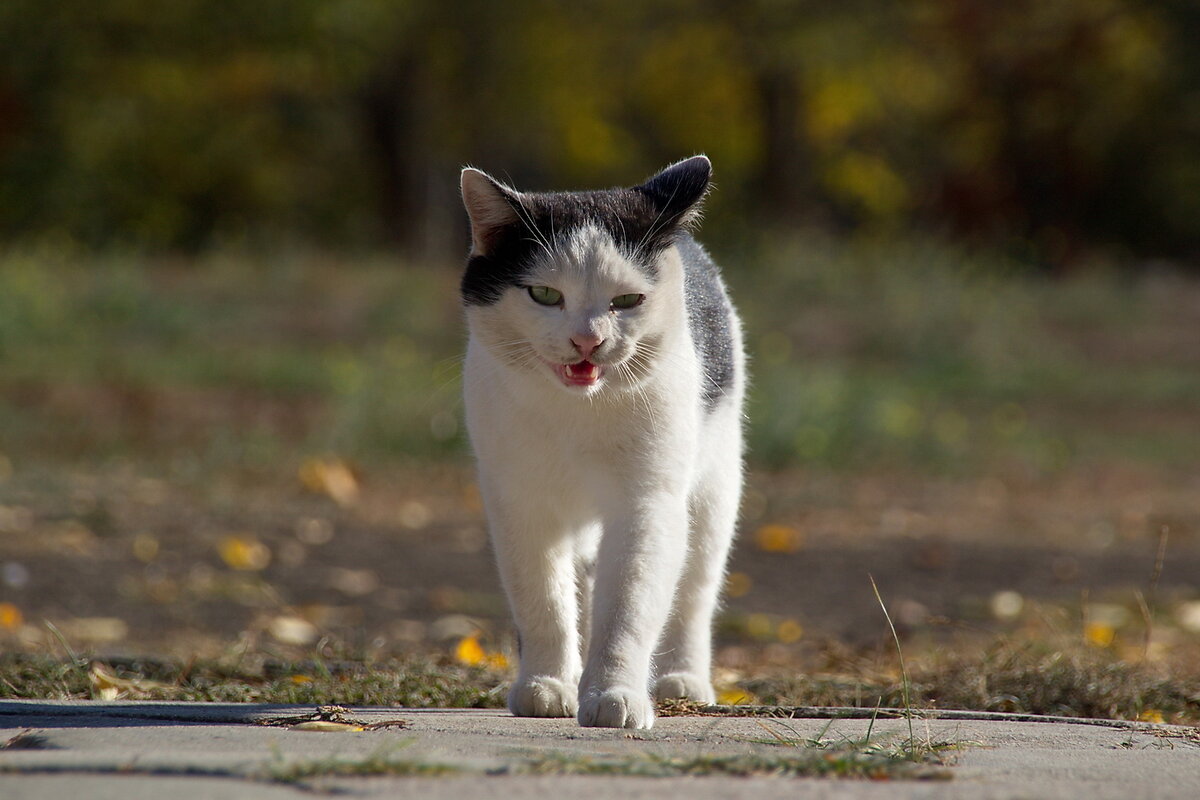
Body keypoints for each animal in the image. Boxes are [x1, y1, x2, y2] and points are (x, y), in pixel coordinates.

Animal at [456, 155, 739, 734]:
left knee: (695, 593)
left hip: (715, 491)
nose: (588, 340)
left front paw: (614, 694)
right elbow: (541, 597)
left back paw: (685, 680)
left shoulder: (646, 504)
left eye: (627, 300)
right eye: (545, 294)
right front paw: (545, 685)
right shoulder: (519, 502)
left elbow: (627, 607)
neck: (577, 412)